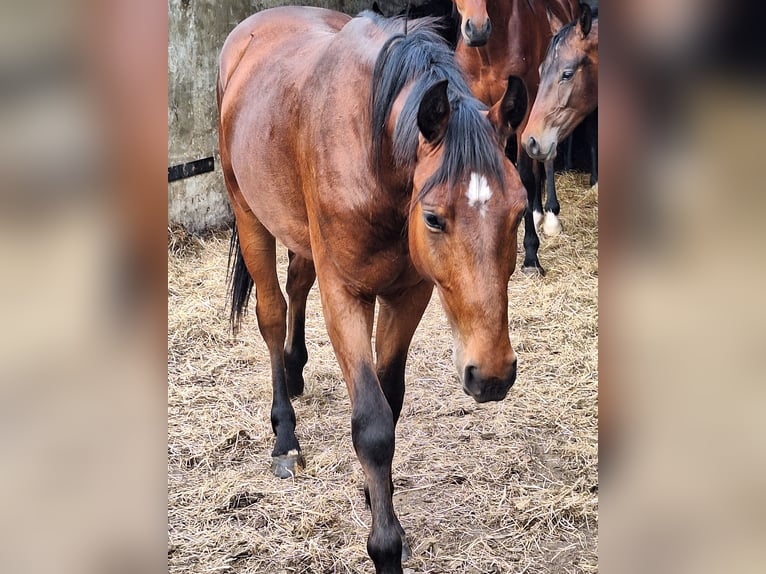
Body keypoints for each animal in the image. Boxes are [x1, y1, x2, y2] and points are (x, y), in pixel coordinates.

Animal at [216, 5, 528, 574]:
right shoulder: (345, 296)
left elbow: (392, 400)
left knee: (297, 285)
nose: (492, 375)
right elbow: (374, 423)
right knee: (272, 315)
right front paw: (385, 545)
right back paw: (284, 436)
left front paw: (373, 491)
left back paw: (295, 370)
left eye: (519, 212)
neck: (374, 152)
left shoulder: (409, 294)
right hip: (249, 217)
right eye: (433, 217)